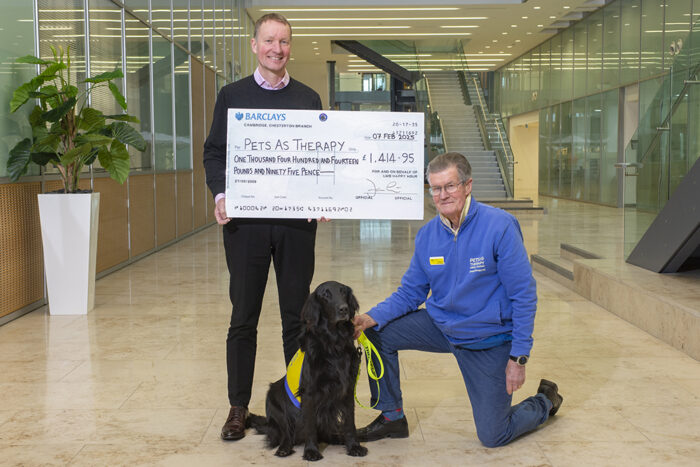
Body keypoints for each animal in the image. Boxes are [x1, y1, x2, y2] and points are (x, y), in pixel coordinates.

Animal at [250, 282, 370, 460]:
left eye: (343, 292)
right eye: (325, 295)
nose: (344, 309)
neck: (334, 343)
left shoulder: (348, 388)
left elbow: (350, 422)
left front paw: (354, 446)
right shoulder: (310, 392)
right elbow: (310, 425)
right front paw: (311, 451)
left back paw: (338, 438)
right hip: (274, 397)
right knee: (286, 433)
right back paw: (284, 448)